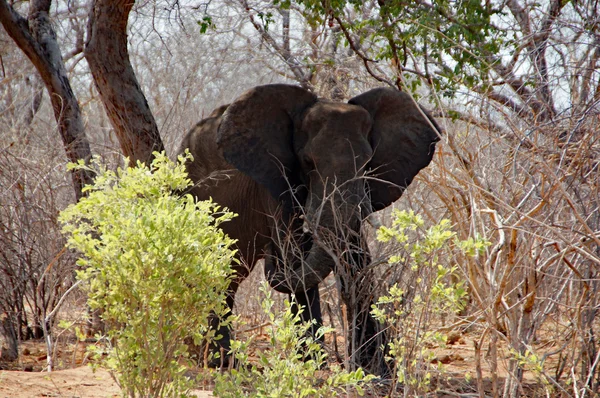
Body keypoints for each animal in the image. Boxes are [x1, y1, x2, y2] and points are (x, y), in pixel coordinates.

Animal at [178, 82, 440, 374]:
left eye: (367, 164)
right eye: (307, 162)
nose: (271, 253)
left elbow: (355, 258)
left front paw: (372, 370)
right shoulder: (274, 183)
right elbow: (294, 256)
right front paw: (312, 365)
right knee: (224, 271)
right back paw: (222, 363)